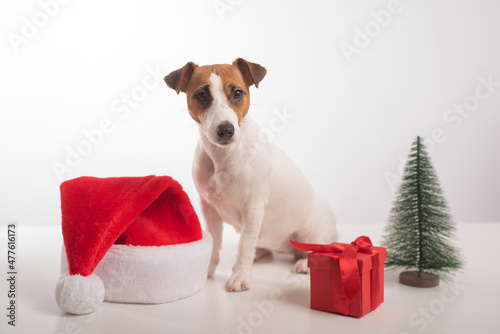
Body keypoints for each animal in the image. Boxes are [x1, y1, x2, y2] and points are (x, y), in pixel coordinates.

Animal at [166, 58, 338, 290]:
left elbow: (244, 244)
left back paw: (306, 263)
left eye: (238, 93)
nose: (226, 130)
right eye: (201, 95)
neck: (223, 157)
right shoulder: (209, 209)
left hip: (313, 233)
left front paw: (240, 276)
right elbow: (215, 242)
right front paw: (208, 271)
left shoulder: (253, 209)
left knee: (317, 248)